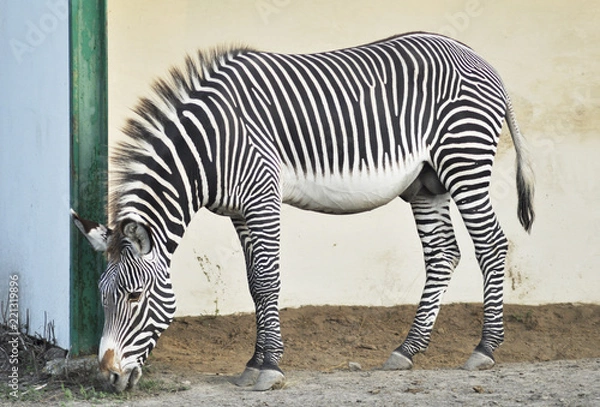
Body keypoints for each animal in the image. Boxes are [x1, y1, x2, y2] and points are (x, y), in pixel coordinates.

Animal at [71, 30, 536, 394]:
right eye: (102, 296)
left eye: (135, 296)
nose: (107, 379)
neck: (209, 146)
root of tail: (475, 55)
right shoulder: (239, 211)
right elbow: (253, 283)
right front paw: (254, 363)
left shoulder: (262, 197)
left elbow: (267, 280)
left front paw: (270, 368)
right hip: (427, 183)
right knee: (443, 255)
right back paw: (407, 350)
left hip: (464, 160)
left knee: (492, 244)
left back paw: (485, 349)